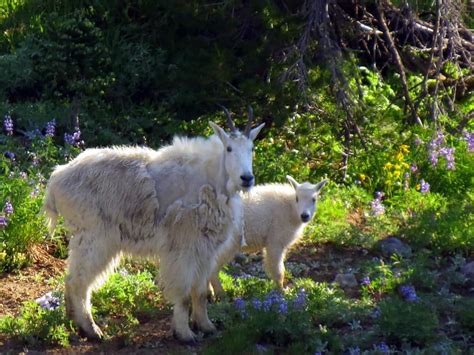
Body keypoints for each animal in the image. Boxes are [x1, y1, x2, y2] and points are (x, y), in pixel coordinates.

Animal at [42, 110, 264, 344]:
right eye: (229, 148)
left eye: (252, 148)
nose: (247, 178)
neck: (214, 180)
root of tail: (56, 179)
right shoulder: (183, 248)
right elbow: (183, 295)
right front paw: (185, 334)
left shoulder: (205, 250)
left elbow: (201, 292)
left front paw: (206, 326)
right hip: (94, 237)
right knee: (78, 281)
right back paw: (91, 329)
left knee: (73, 279)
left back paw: (76, 323)